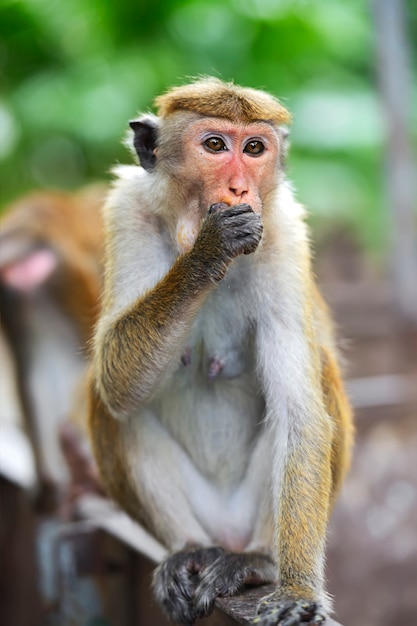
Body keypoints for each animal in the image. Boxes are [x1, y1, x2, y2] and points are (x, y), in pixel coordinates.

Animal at [89, 75, 352, 620]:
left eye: (254, 149)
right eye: (215, 145)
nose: (239, 188)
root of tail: (226, 534)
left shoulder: (285, 235)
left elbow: (299, 414)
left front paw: (298, 592)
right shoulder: (126, 210)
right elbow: (116, 381)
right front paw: (205, 254)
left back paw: (256, 561)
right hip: (205, 513)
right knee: (112, 405)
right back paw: (188, 551)